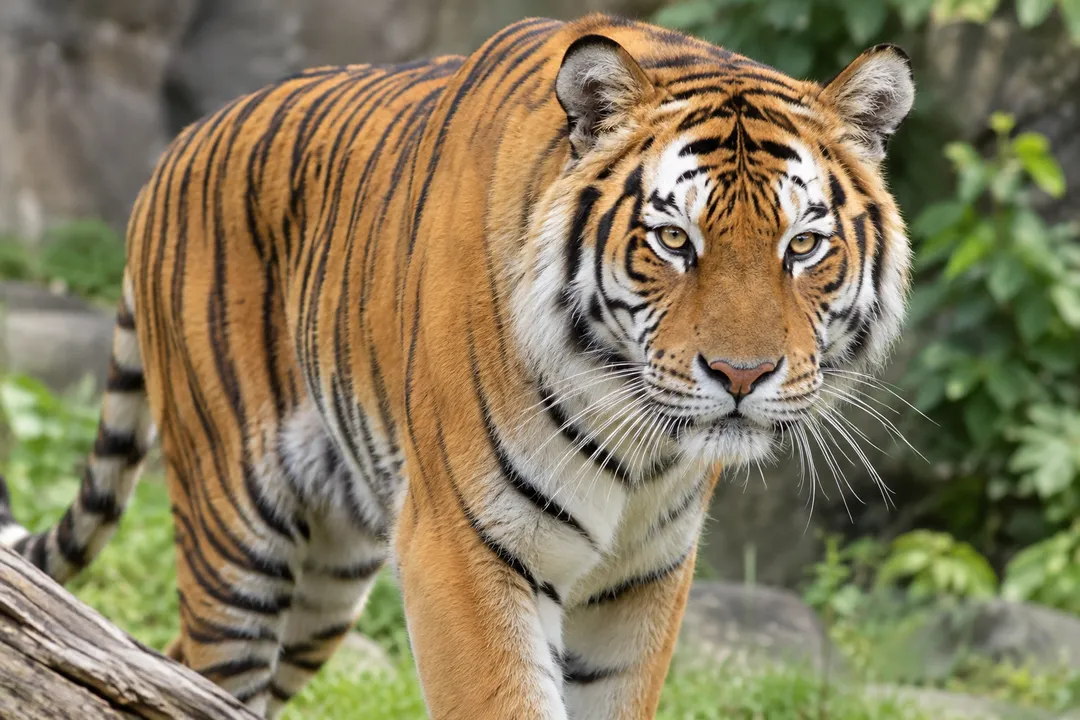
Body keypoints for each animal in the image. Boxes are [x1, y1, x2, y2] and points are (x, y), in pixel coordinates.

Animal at [0, 12, 914, 720]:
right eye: (671, 240)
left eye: (803, 246)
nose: (741, 376)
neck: (639, 444)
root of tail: (175, 150)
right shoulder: (462, 546)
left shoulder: (642, 579)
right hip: (237, 527)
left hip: (327, 574)